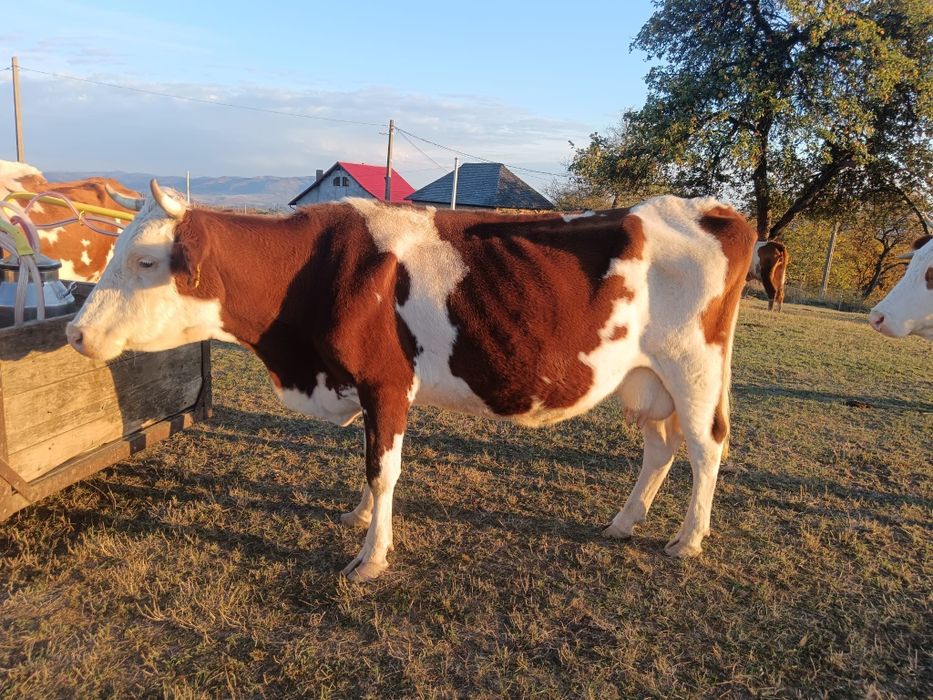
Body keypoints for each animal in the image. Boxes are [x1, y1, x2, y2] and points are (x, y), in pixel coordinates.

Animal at [66, 181, 756, 582]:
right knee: (661, 447)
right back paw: (623, 522)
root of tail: (711, 207)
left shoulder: (387, 382)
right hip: (644, 378)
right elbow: (368, 460)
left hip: (693, 366)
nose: (74, 332)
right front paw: (358, 516)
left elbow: (384, 468)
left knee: (705, 447)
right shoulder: (364, 389)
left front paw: (371, 556)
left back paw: (688, 539)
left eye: (145, 261)